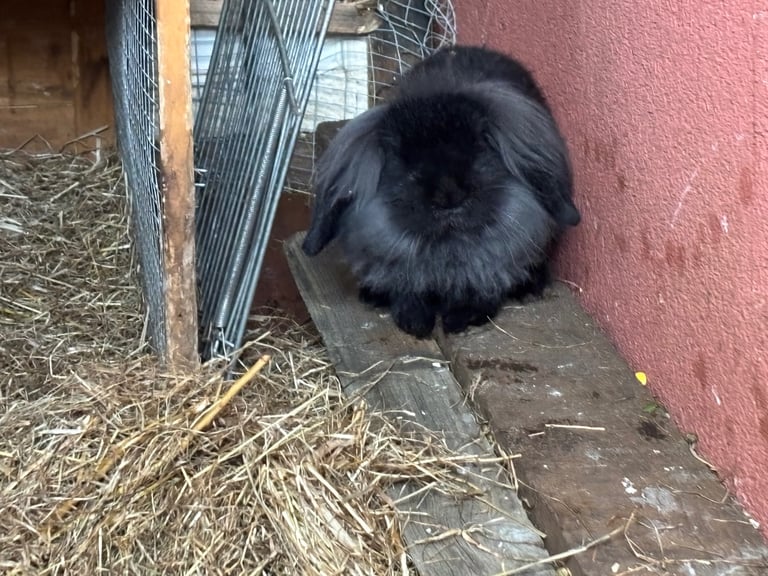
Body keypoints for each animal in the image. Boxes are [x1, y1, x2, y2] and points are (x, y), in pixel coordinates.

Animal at [301, 44, 581, 338]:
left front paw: (459, 320)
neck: (448, 247)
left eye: (480, 147)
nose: (449, 197)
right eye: (403, 160)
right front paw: (414, 321)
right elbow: (407, 293)